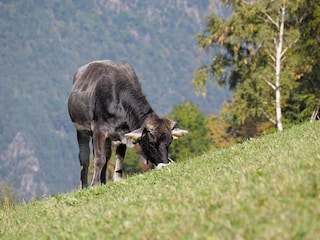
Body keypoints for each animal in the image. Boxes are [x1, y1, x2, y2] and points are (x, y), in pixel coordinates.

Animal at [68, 60, 188, 188]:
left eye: (169, 142)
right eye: (151, 143)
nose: (165, 165)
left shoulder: (122, 132)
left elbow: (119, 157)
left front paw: (117, 179)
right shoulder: (99, 130)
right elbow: (99, 158)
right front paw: (94, 185)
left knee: (107, 154)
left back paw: (103, 181)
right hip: (81, 130)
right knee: (84, 157)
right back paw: (84, 185)